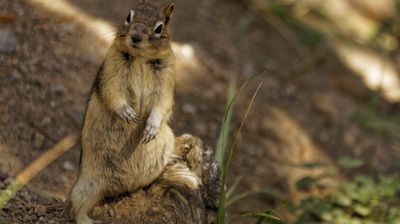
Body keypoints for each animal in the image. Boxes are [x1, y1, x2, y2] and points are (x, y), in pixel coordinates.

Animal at [70, 0, 177, 223]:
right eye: (129, 16)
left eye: (159, 27)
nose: (135, 36)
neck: (141, 57)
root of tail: (119, 189)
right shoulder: (111, 68)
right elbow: (113, 93)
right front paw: (128, 114)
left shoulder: (167, 76)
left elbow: (162, 104)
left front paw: (151, 128)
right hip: (87, 185)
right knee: (77, 208)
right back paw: (89, 220)